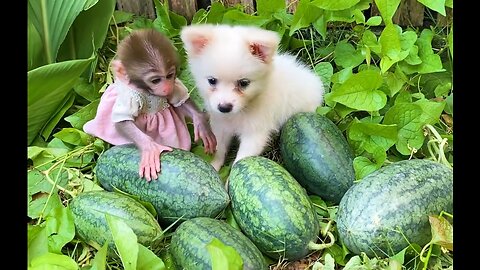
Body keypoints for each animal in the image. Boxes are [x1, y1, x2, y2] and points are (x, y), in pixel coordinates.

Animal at [84, 28, 216, 180]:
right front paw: (149, 146)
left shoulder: (174, 86)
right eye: (156, 80)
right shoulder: (130, 97)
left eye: (169, 76)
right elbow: (123, 120)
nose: (166, 87)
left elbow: (180, 101)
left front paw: (201, 123)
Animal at [182, 23, 324, 171]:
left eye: (244, 83)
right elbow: (219, 149)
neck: (241, 111)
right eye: (212, 81)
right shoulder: (221, 125)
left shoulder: (255, 132)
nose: (224, 107)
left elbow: (242, 159)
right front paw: (213, 166)